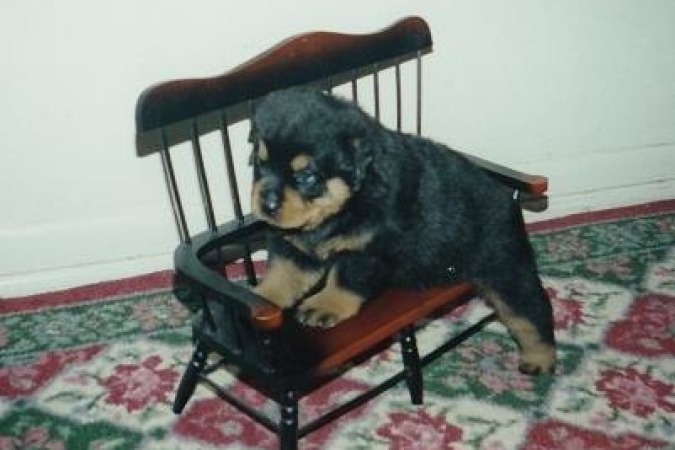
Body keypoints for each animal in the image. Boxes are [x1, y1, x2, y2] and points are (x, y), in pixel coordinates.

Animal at [248, 86, 556, 374]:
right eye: (259, 165)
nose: (267, 204)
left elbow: (344, 280)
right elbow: (282, 275)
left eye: (307, 176)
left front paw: (324, 305)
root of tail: (508, 197)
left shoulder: (370, 251)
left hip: (505, 265)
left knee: (531, 312)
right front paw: (259, 298)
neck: (347, 205)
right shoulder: (293, 247)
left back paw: (539, 359)